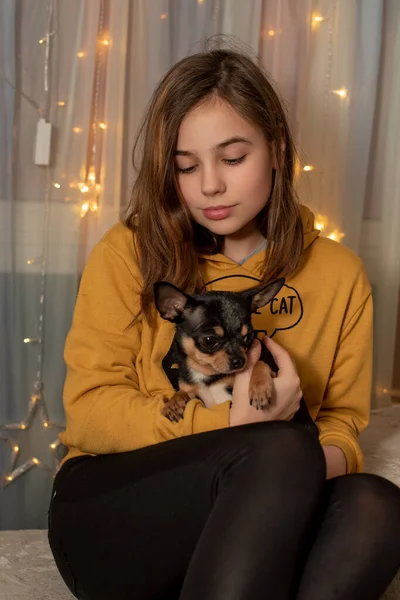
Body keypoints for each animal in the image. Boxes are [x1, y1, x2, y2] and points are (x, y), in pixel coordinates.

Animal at [153, 278, 318, 438]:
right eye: (209, 340)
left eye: (248, 336)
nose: (240, 361)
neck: (207, 374)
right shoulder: (192, 389)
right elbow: (182, 391)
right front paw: (173, 402)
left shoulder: (272, 367)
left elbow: (260, 363)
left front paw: (259, 389)